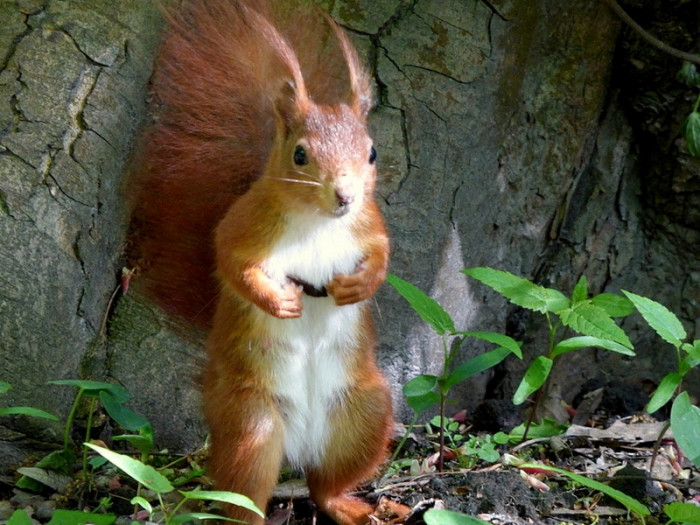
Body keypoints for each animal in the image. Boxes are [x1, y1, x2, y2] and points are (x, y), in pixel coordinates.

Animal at [127, 1, 394, 524]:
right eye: (300, 155)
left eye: (372, 151)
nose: (345, 196)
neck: (316, 221)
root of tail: (301, 442)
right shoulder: (243, 226)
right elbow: (233, 265)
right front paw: (279, 301)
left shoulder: (367, 225)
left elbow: (381, 256)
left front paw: (358, 287)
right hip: (251, 425)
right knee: (244, 494)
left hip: (365, 414)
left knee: (325, 486)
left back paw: (354, 506)